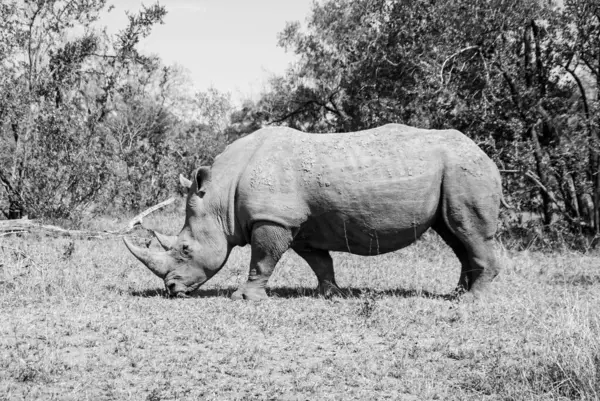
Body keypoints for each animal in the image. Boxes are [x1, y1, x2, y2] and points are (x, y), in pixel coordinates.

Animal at [125, 123, 502, 298]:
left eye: (185, 249)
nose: (171, 289)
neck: (220, 195)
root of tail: (485, 153)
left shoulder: (273, 218)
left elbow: (261, 259)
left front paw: (243, 298)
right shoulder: (297, 223)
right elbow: (319, 261)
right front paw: (331, 294)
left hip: (465, 171)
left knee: (468, 231)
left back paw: (472, 300)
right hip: (454, 174)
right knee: (454, 234)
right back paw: (458, 293)